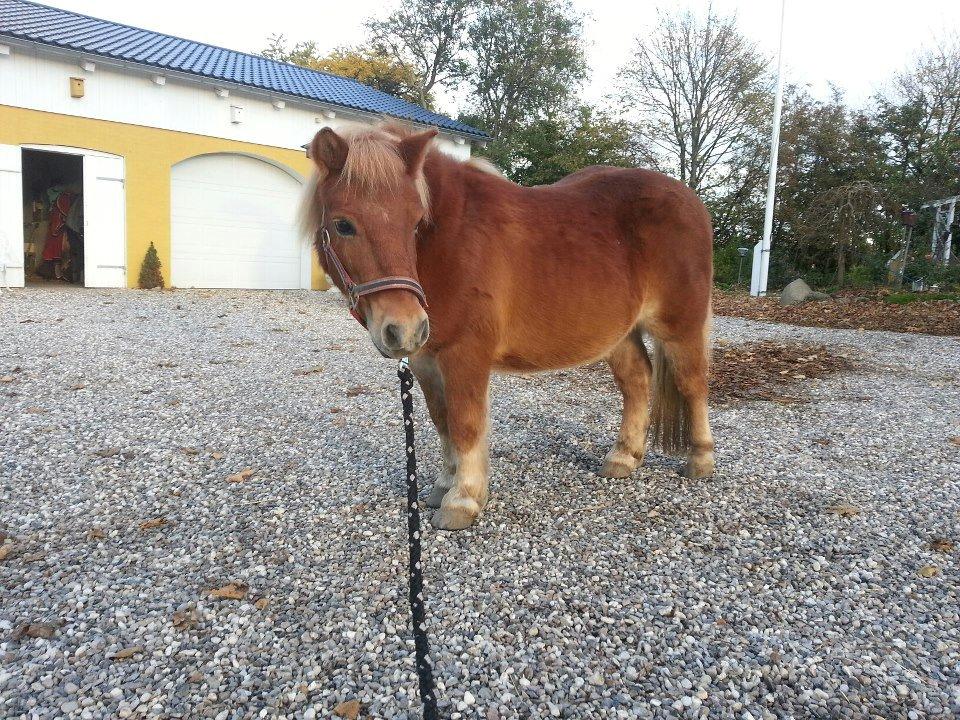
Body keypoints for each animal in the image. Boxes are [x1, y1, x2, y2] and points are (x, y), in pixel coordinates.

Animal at [302, 123, 715, 530]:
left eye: (417, 222)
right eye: (343, 225)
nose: (403, 328)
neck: (452, 241)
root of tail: (690, 200)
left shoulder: (465, 354)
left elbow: (466, 425)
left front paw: (463, 500)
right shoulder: (426, 360)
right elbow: (443, 423)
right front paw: (443, 486)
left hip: (680, 326)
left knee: (692, 384)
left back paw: (700, 460)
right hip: (620, 334)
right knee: (637, 381)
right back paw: (623, 458)